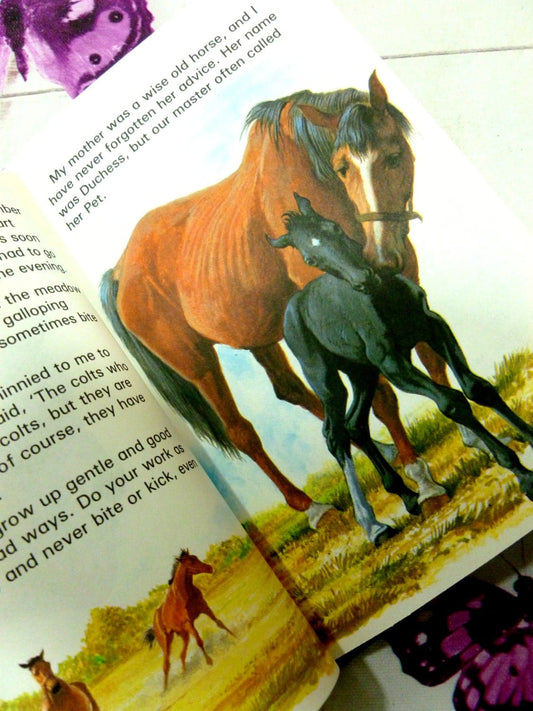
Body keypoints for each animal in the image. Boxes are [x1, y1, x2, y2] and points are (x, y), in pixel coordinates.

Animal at [100, 71, 450, 527]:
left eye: (394, 156)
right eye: (342, 167)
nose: (381, 255)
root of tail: (120, 270)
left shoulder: (406, 276)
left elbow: (431, 357)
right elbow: (384, 395)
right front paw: (419, 476)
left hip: (258, 335)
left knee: (293, 391)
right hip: (196, 362)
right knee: (241, 431)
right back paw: (311, 505)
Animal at [145, 549, 233, 690]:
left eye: (195, 557)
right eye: (191, 561)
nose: (209, 568)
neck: (184, 595)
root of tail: (154, 623)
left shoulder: (205, 608)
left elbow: (219, 623)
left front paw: (235, 635)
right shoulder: (189, 623)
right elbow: (199, 641)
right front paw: (209, 661)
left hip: (183, 634)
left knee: (182, 655)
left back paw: (184, 675)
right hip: (167, 642)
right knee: (166, 665)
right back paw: (165, 690)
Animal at [266, 194, 533, 543]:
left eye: (333, 227)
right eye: (310, 257)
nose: (364, 278)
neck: (385, 297)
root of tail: (292, 308)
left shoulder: (433, 327)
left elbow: (478, 388)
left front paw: (529, 437)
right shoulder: (393, 364)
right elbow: (451, 402)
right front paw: (522, 474)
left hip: (362, 373)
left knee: (355, 425)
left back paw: (407, 496)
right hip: (326, 379)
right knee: (334, 434)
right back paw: (373, 525)